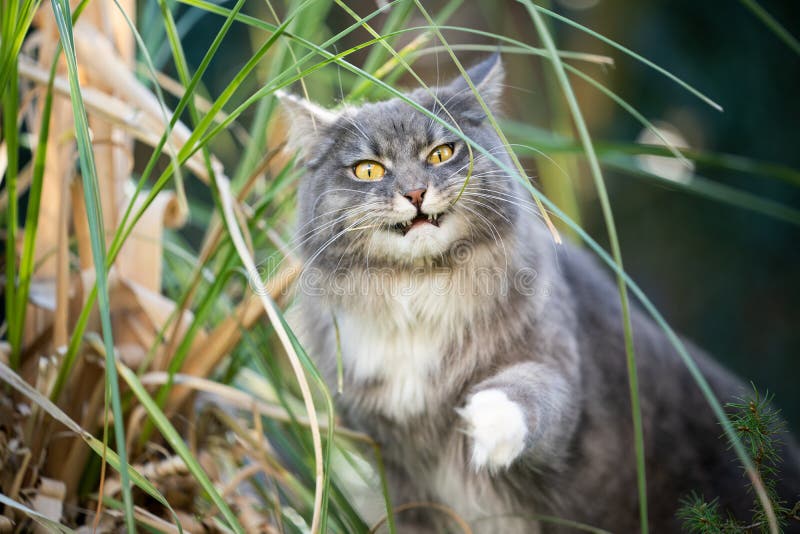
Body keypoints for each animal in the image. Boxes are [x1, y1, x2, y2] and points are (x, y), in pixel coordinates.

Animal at [276, 56, 800, 532]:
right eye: (368, 170)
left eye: (441, 154)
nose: (416, 192)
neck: (419, 290)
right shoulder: (396, 472)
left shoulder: (556, 367)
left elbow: (528, 391)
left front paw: (484, 424)